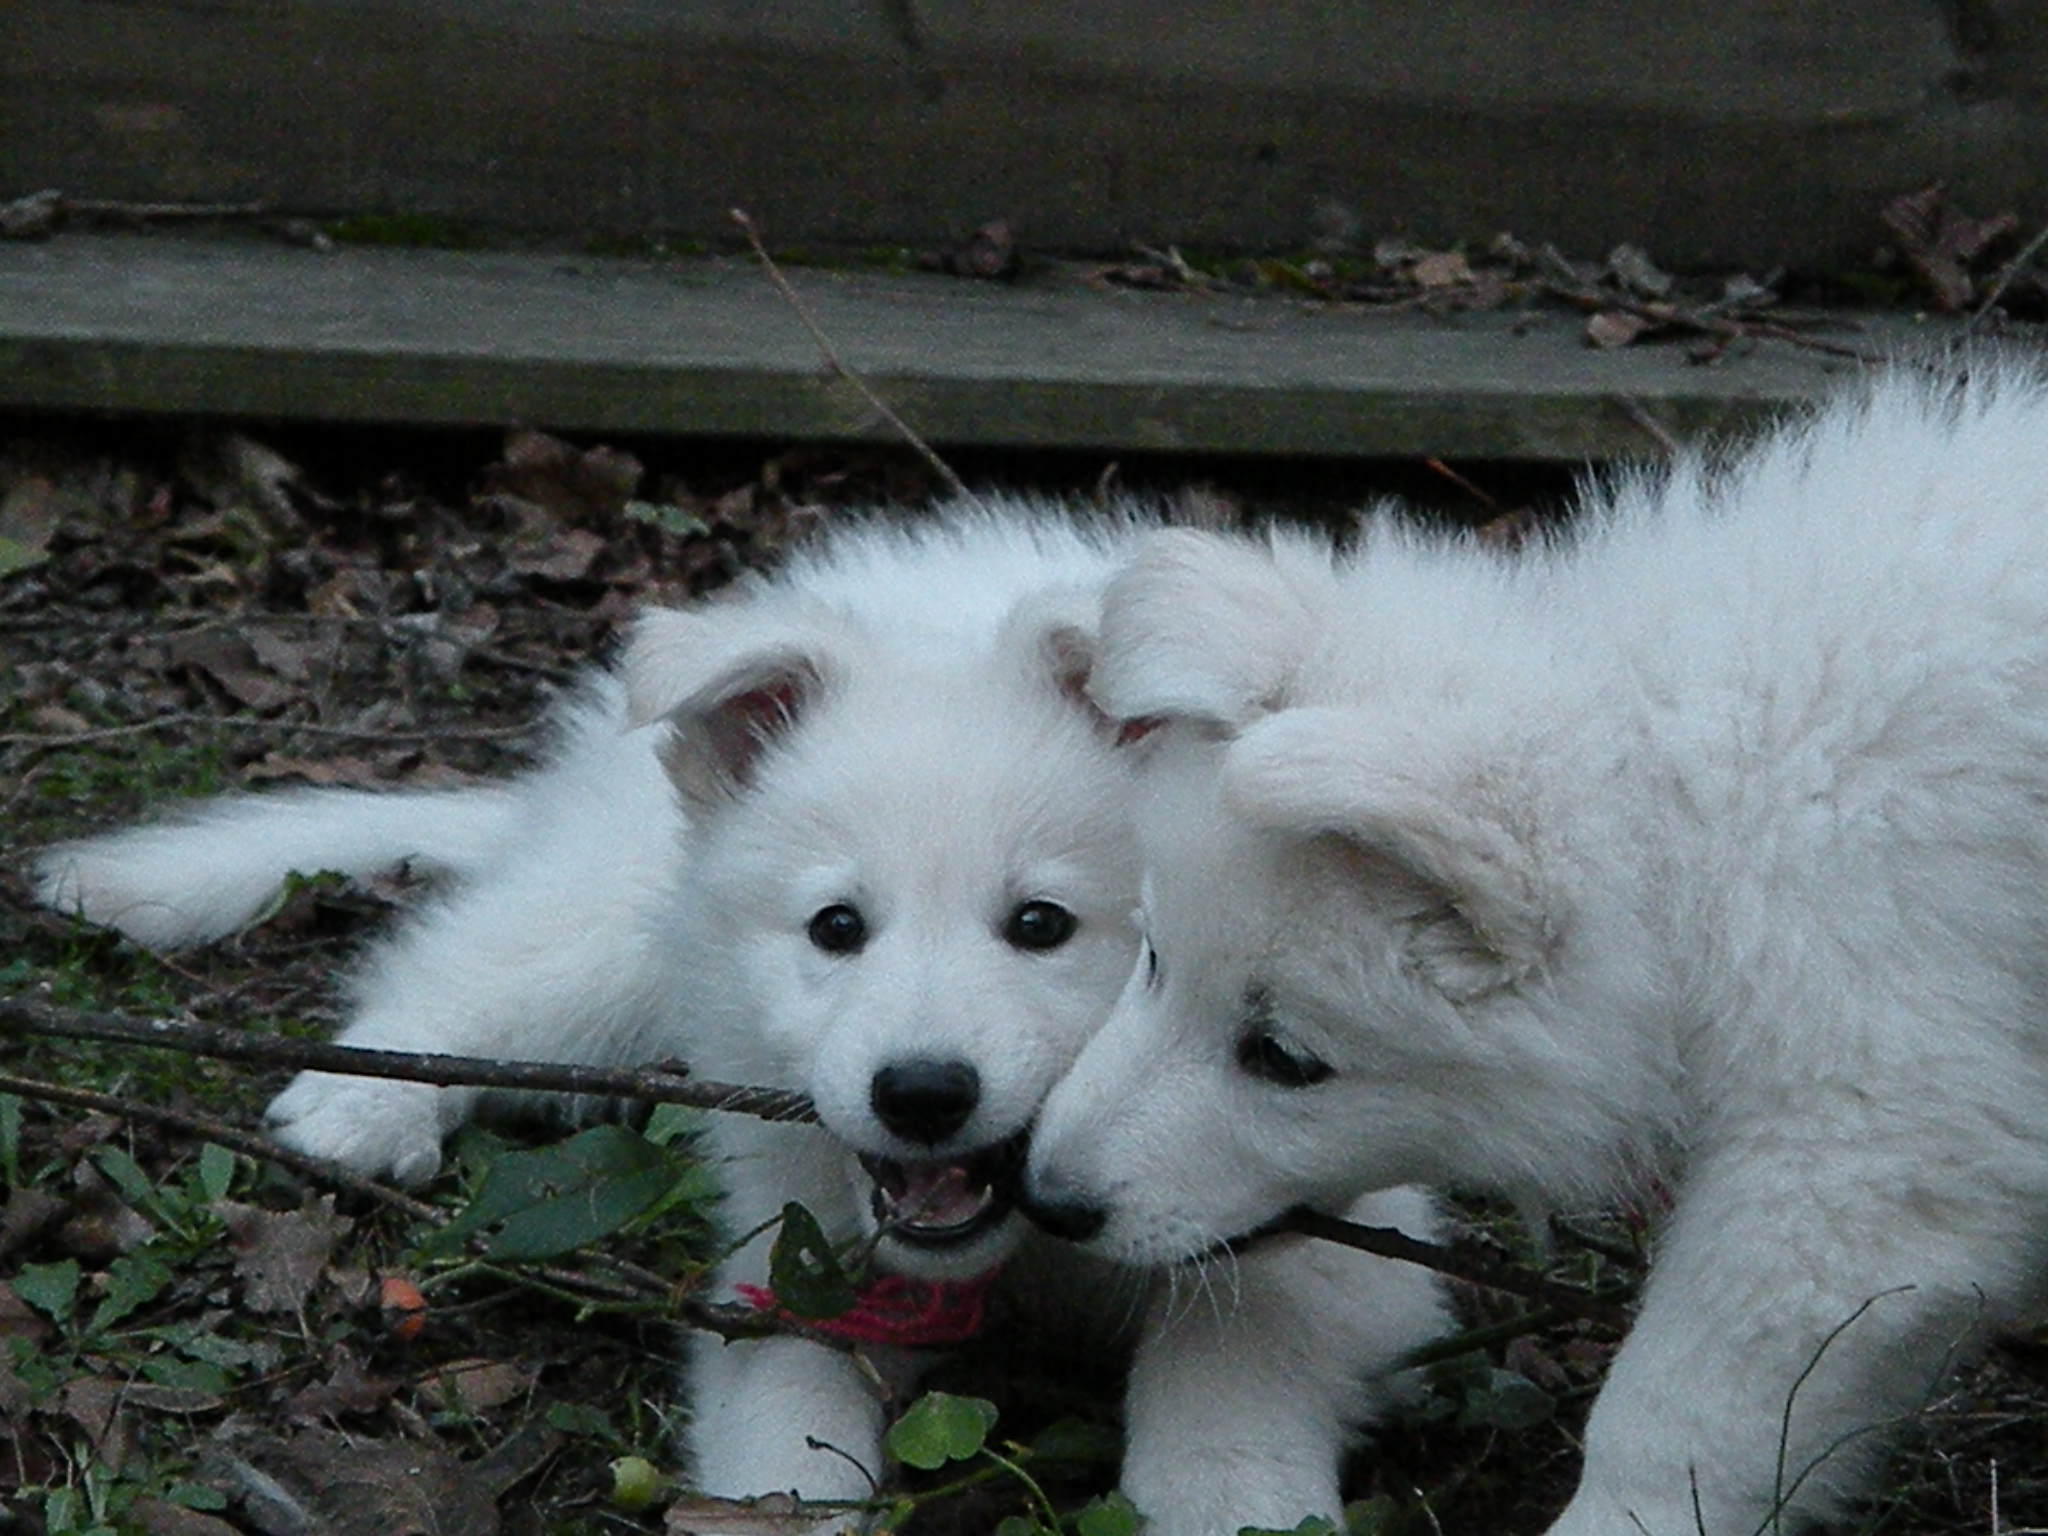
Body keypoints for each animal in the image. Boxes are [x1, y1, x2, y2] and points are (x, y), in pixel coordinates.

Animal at [32, 501, 1441, 1536]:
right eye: (835, 929)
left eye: (1042, 925)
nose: (919, 1094)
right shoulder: (793, 1245)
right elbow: (786, 1435)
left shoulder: (1338, 1187)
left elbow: (1244, 1334)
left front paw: (1226, 1492)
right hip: (617, 927)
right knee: (476, 963)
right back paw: (363, 1097)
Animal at [1024, 376, 2048, 1536]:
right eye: (1152, 959)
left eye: (1285, 1059)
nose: (1047, 1199)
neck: (1694, 792)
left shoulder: (1870, 1139)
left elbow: (1681, 1408)